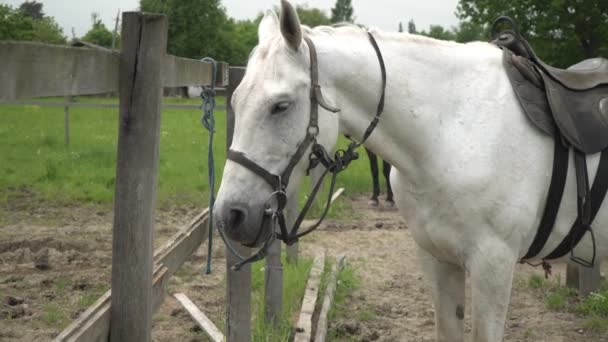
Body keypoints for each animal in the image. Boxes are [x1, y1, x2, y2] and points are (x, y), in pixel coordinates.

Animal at [215, 1, 608, 340]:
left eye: (280, 106)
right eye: (234, 100)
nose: (230, 215)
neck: (451, 130)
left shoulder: (493, 266)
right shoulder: (437, 259)